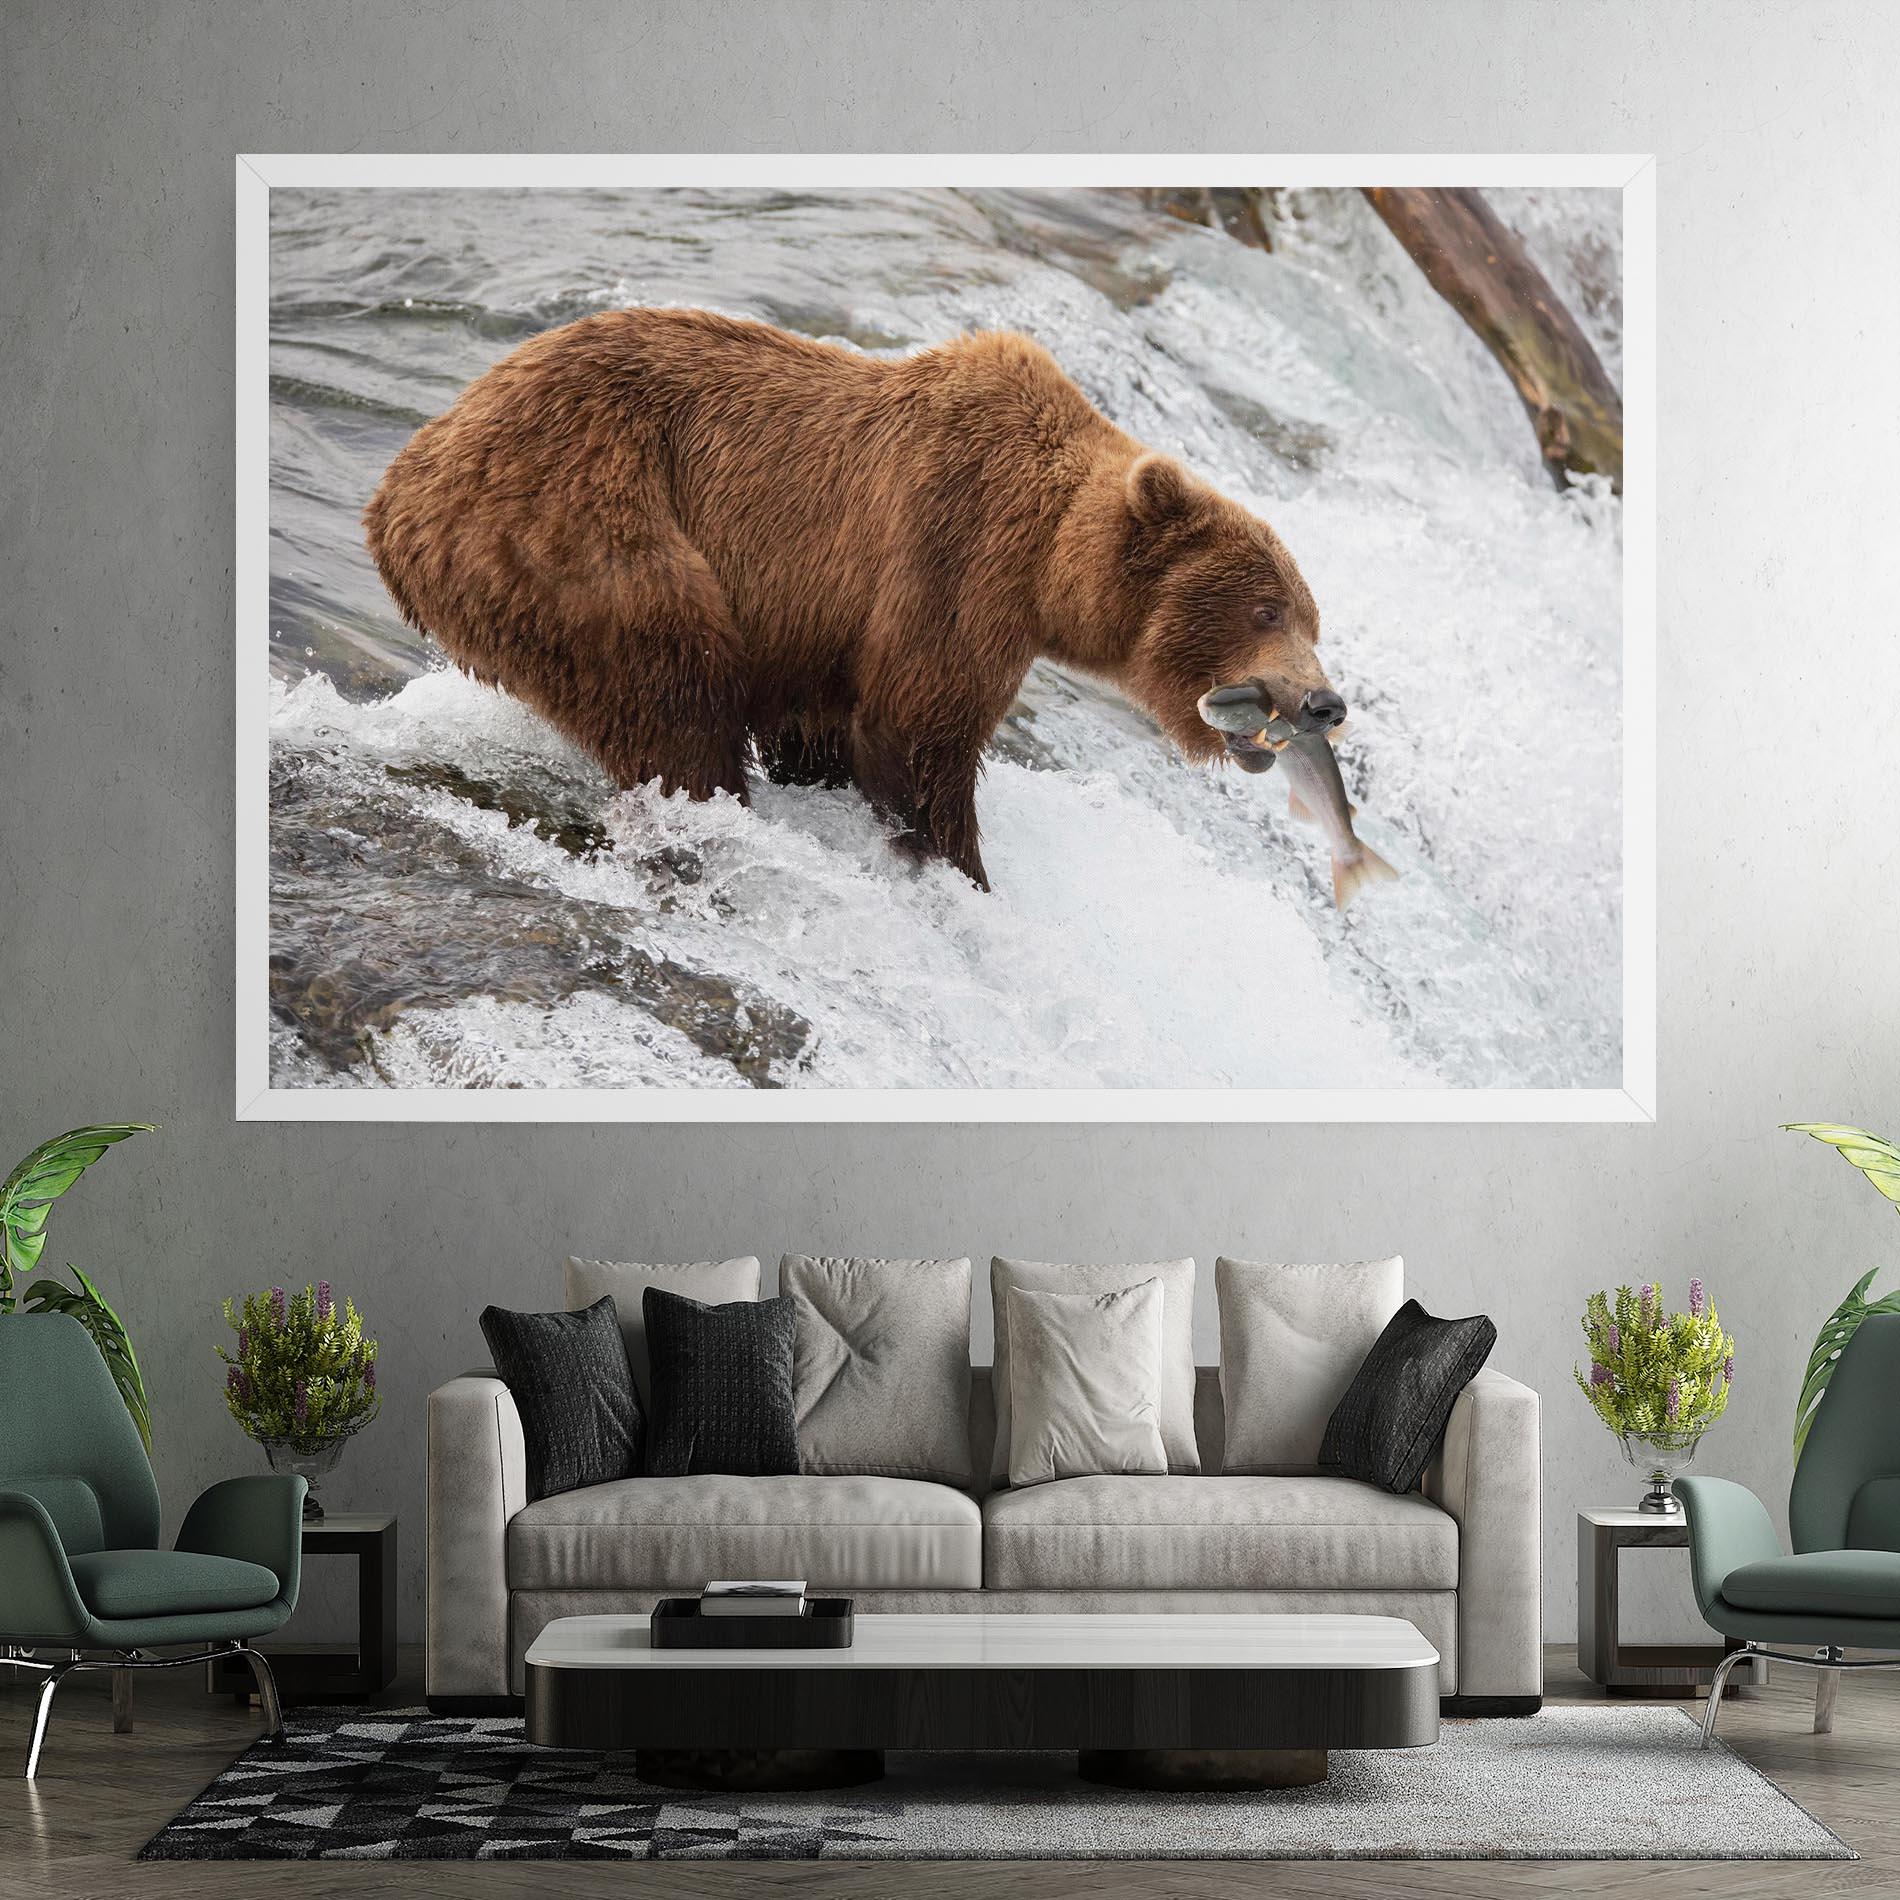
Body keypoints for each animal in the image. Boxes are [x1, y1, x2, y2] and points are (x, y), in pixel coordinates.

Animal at [364, 308, 1344, 891]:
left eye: (1312, 617)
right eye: (1267, 610)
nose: (1324, 703)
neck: (1048, 563)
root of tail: (400, 487)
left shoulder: (822, 631)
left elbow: (825, 729)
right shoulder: (953, 555)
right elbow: (918, 732)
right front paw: (960, 869)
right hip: (582, 525)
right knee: (672, 689)